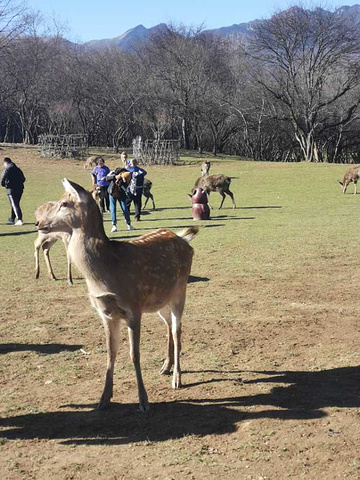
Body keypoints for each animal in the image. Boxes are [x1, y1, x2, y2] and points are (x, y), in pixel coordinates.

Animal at [35, 180, 200, 412]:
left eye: (64, 203)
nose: (38, 222)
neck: (105, 273)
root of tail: (183, 238)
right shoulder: (105, 313)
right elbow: (110, 353)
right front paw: (103, 398)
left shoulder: (134, 307)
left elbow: (134, 354)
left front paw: (143, 401)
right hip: (159, 301)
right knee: (168, 325)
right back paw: (165, 367)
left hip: (180, 291)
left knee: (177, 331)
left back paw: (177, 378)